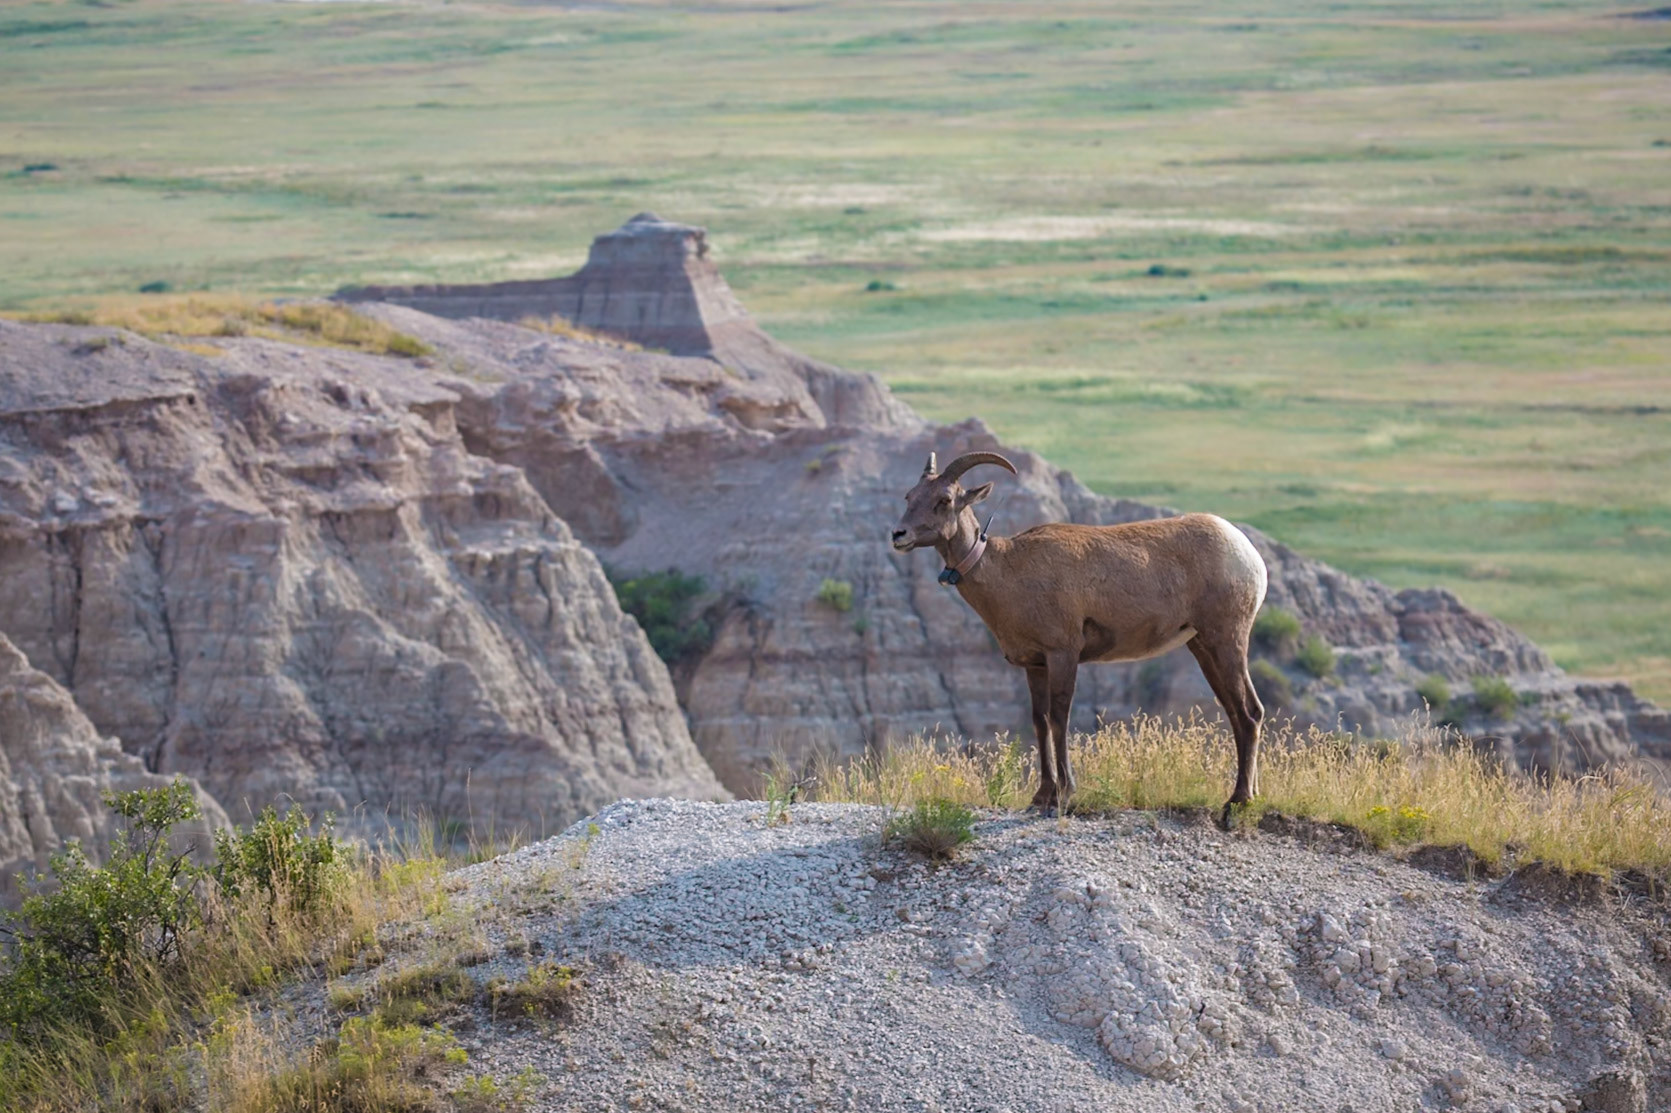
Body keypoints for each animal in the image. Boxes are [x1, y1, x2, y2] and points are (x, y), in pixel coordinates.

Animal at [891, 450, 1269, 822]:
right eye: (910, 496)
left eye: (944, 499)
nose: (899, 534)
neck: (1008, 573)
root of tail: (1247, 554)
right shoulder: (1035, 664)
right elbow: (1040, 721)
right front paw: (1040, 798)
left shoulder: (1063, 654)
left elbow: (1060, 717)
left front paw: (1062, 797)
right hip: (1202, 646)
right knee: (1236, 712)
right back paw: (1248, 797)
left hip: (1227, 639)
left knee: (1250, 712)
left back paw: (1236, 804)